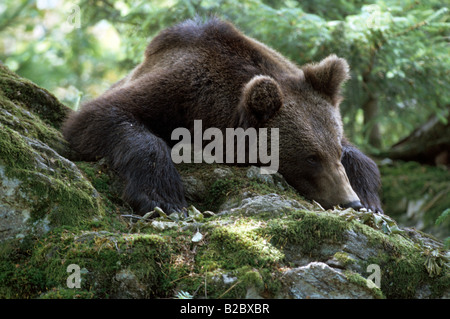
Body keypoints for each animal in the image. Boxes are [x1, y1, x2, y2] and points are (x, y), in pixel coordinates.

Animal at [61, 16, 382, 215]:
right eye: (311, 158)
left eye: (335, 151)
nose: (349, 202)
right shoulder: (174, 88)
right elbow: (103, 116)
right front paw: (164, 197)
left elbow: (360, 156)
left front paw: (371, 199)